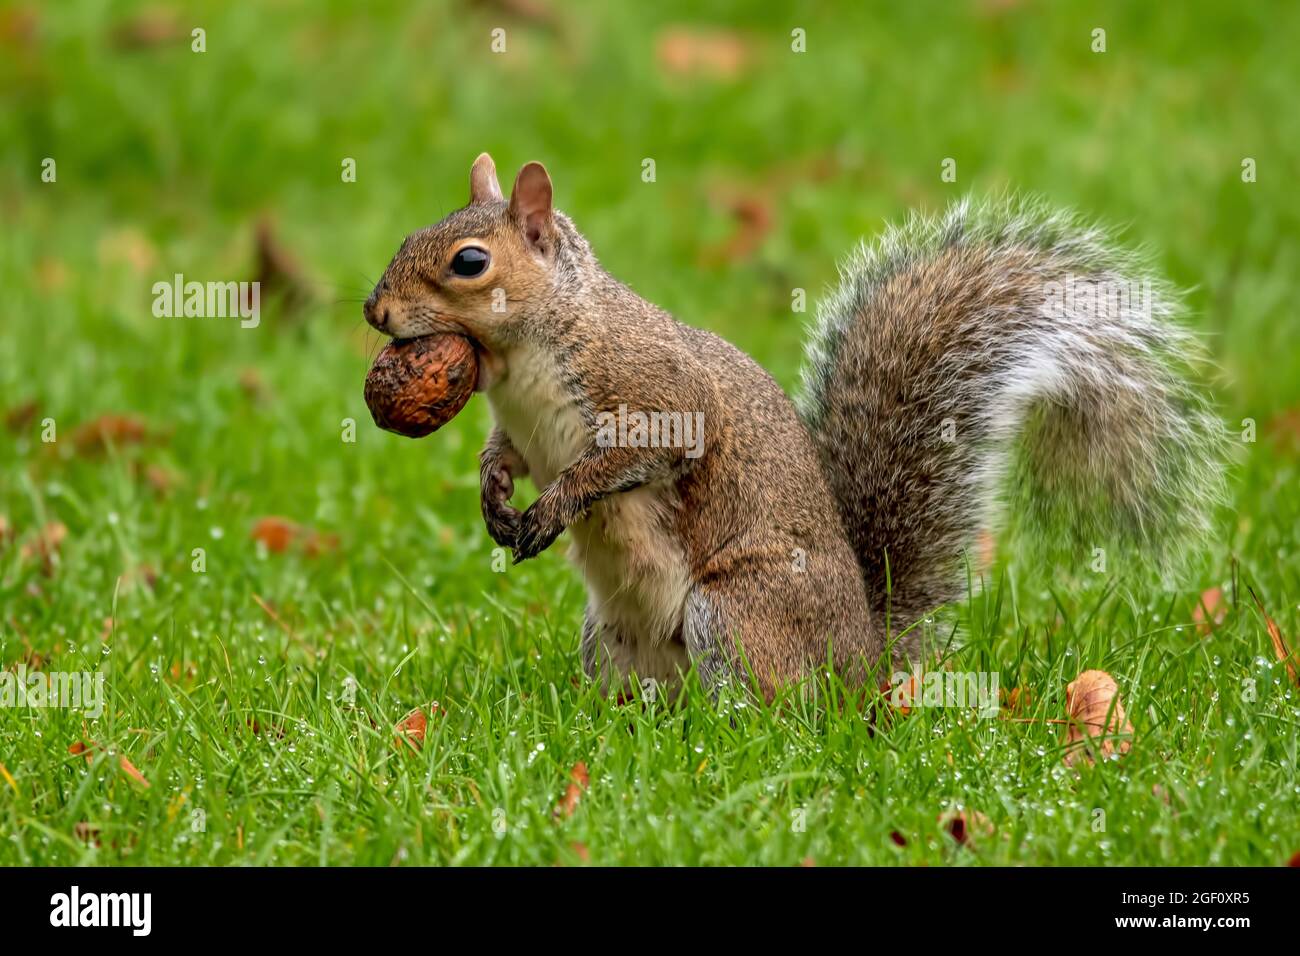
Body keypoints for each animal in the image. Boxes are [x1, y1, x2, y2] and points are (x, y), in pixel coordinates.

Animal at [361, 155, 1222, 697]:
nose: (375, 310)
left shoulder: (655, 391)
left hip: (738, 608)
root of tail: (862, 662)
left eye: (470, 262)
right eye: (408, 236)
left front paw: (555, 505)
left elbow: (627, 457)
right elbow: (502, 453)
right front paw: (494, 495)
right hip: (609, 637)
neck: (519, 357)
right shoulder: (518, 424)